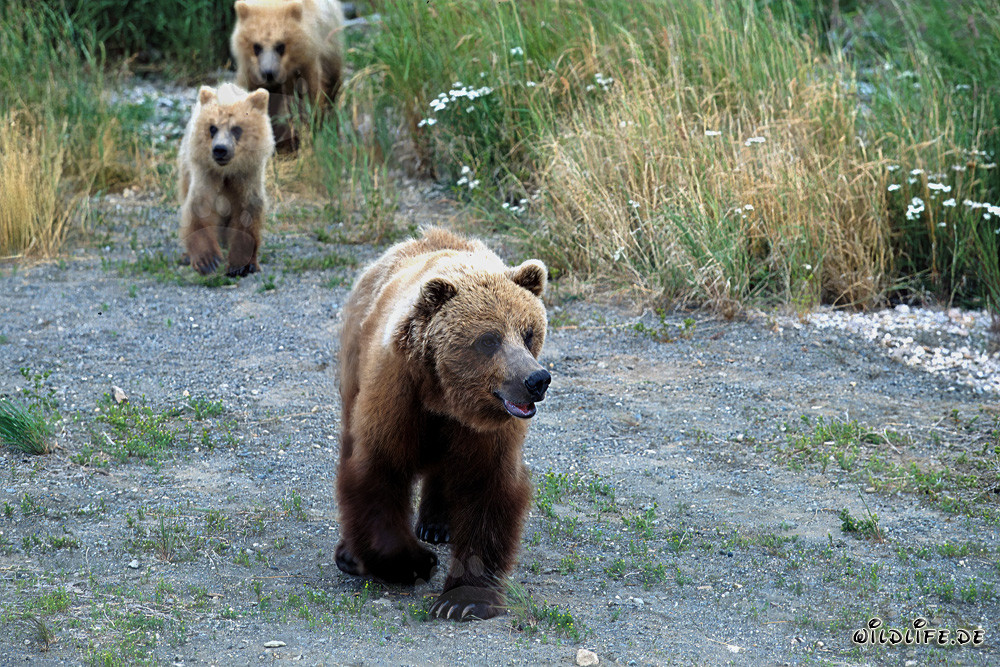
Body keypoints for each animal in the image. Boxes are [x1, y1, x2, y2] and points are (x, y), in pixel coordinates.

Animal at [177, 83, 275, 277]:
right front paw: (208, 260)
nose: (220, 149)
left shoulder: (248, 176)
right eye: (212, 128)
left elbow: (247, 212)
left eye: (236, 128)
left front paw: (243, 264)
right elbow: (199, 208)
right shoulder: (205, 172)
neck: (227, 171)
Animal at [230, 0, 345, 150]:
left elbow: (313, 91)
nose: (268, 73)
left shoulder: (308, 57)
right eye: (256, 46)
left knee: (333, 84)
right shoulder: (251, 70)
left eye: (280, 46)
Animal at [335, 227, 552, 621]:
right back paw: (350, 554)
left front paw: (461, 599)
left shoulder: (487, 431)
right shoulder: (397, 395)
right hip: (354, 362)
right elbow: (378, 470)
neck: (445, 397)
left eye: (529, 332)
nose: (536, 380)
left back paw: (437, 523)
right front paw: (414, 563)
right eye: (489, 339)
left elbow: (487, 489)